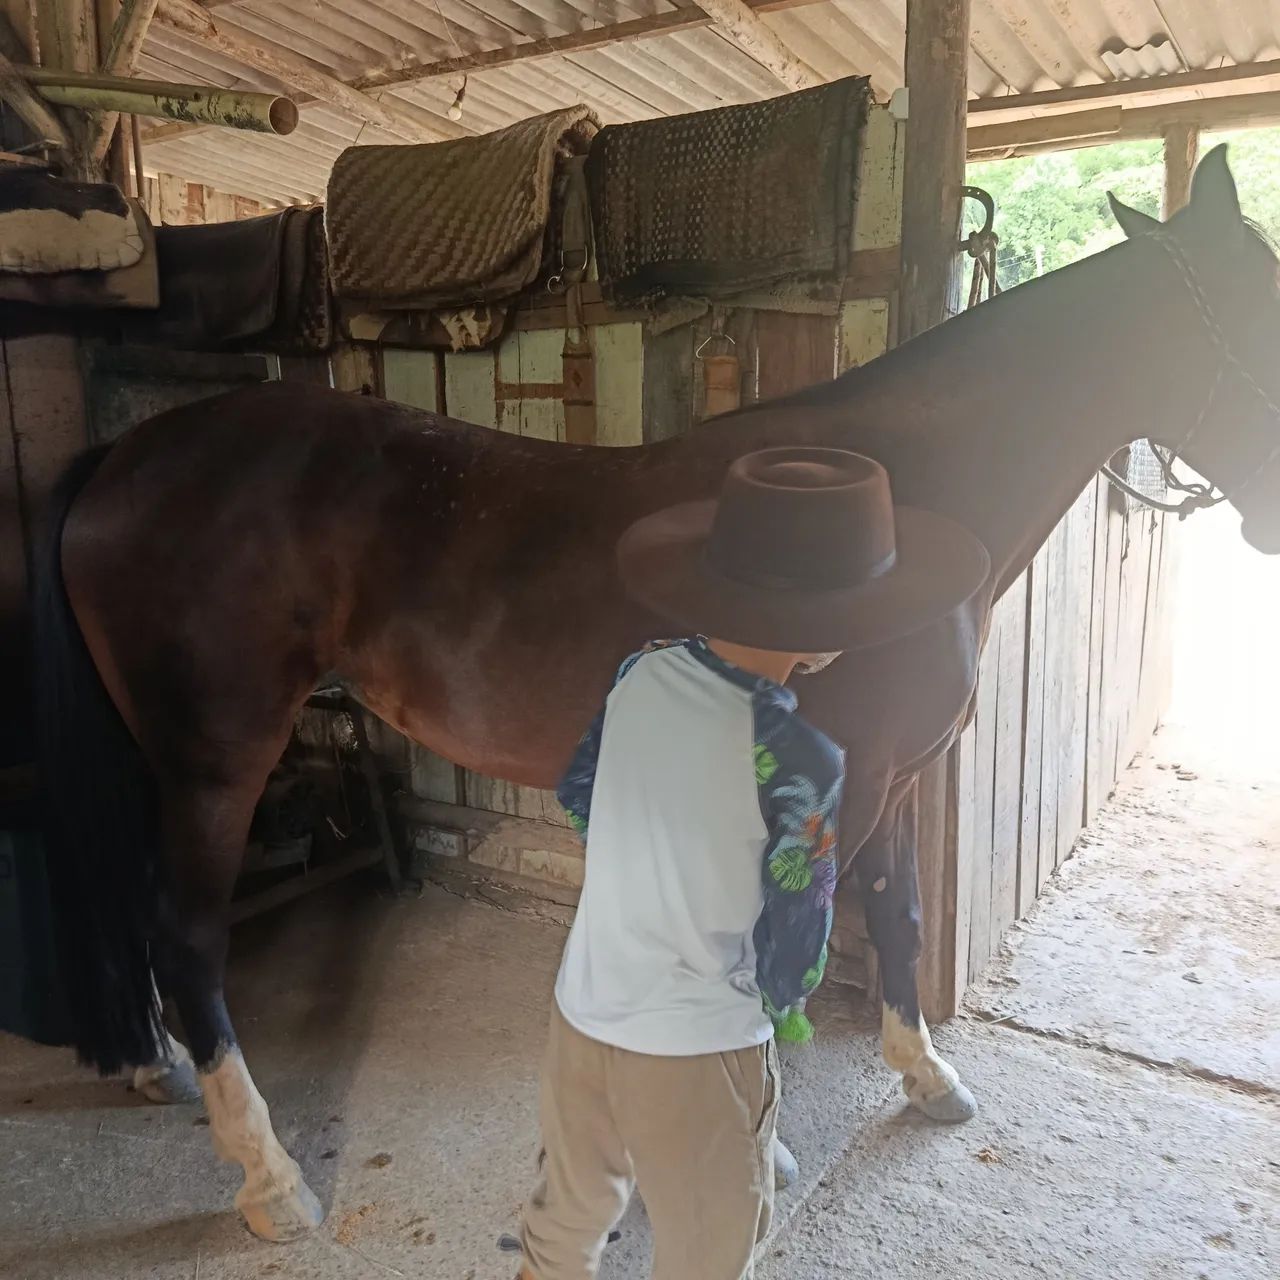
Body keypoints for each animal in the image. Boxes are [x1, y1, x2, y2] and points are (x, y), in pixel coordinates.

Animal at [30, 145, 1280, 1241]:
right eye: (1258, 298)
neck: (895, 514)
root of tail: (124, 459)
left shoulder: (883, 780)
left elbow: (898, 913)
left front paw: (926, 1077)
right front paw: (767, 1148)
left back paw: (156, 1066)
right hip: (216, 761)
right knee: (189, 938)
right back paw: (273, 1180)